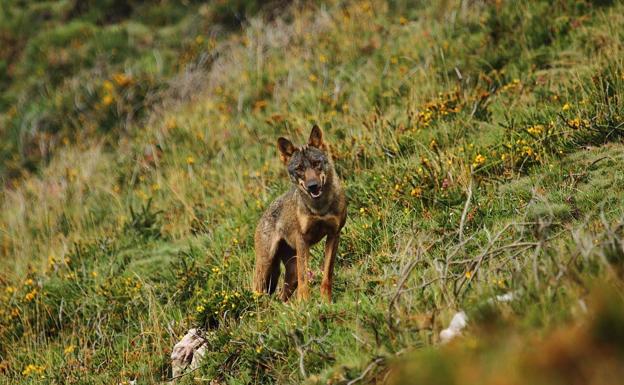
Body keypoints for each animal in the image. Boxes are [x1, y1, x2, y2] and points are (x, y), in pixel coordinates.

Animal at [255, 124, 352, 302]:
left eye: (316, 163)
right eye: (299, 168)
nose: (313, 186)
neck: (319, 208)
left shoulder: (334, 235)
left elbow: (327, 275)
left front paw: (326, 302)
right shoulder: (302, 240)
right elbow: (304, 279)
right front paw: (305, 303)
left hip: (289, 275)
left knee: (282, 296)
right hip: (265, 269)